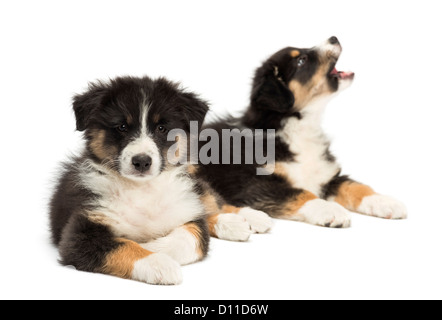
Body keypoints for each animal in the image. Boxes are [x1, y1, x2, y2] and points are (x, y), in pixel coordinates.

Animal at [197, 37, 408, 228]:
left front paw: (384, 201)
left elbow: (355, 186)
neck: (299, 128)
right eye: (301, 61)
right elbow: (300, 193)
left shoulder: (327, 176)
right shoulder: (253, 185)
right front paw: (330, 209)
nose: (334, 38)